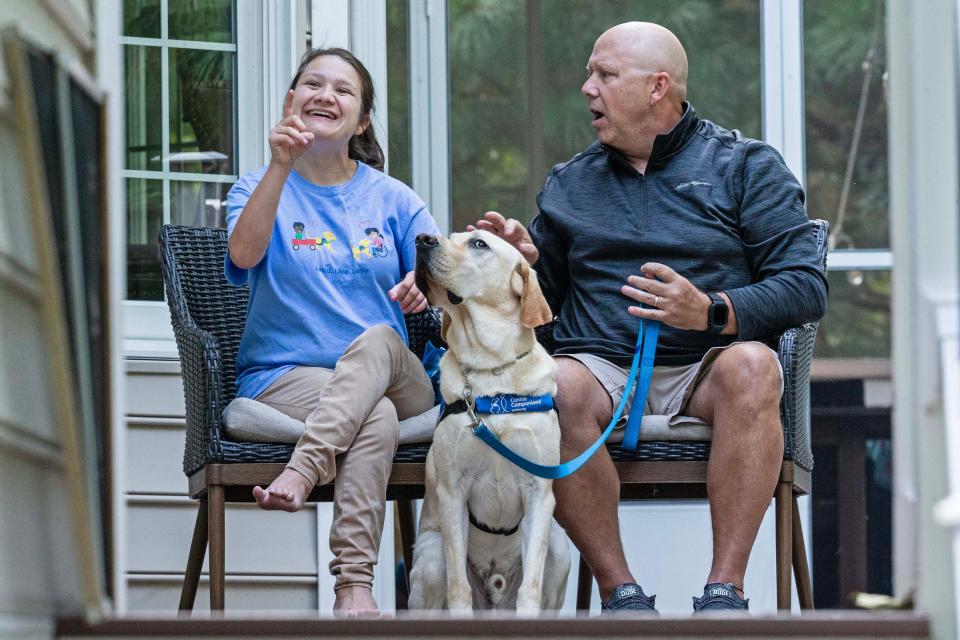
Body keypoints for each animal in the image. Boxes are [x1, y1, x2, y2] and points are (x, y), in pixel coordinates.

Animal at [406, 231, 568, 616]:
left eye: (479, 243)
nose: (422, 239)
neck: (491, 368)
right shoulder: (453, 491)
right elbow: (459, 590)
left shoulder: (539, 492)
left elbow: (530, 588)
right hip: (431, 556)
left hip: (560, 548)